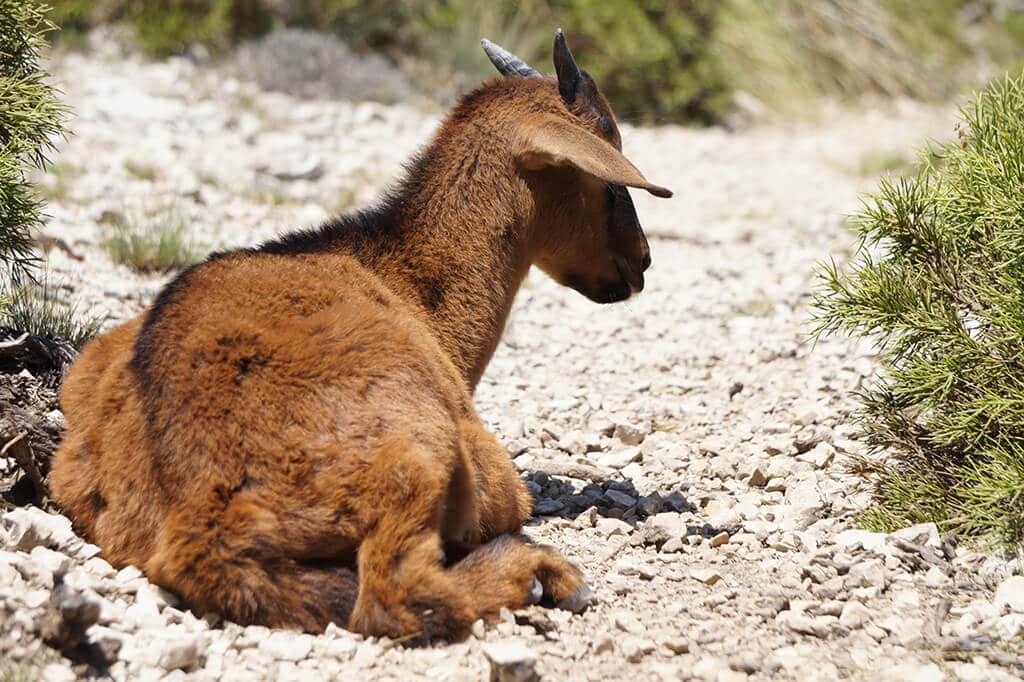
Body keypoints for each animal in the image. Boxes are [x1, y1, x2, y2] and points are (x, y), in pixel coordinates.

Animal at [49, 30, 671, 638]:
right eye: (606, 173)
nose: (641, 261)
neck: (404, 277)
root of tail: (204, 519)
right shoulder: (492, 478)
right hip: (416, 457)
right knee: (398, 594)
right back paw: (542, 575)